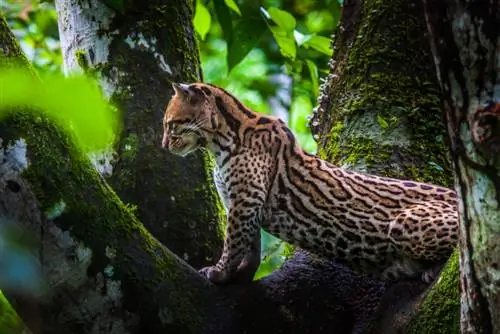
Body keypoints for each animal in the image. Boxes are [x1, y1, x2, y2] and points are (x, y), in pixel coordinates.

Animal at [162, 83, 458, 284]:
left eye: (171, 124)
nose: (163, 145)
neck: (219, 143)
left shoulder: (245, 199)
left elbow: (234, 241)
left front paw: (219, 271)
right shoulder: (240, 201)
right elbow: (251, 246)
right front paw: (242, 276)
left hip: (405, 222)